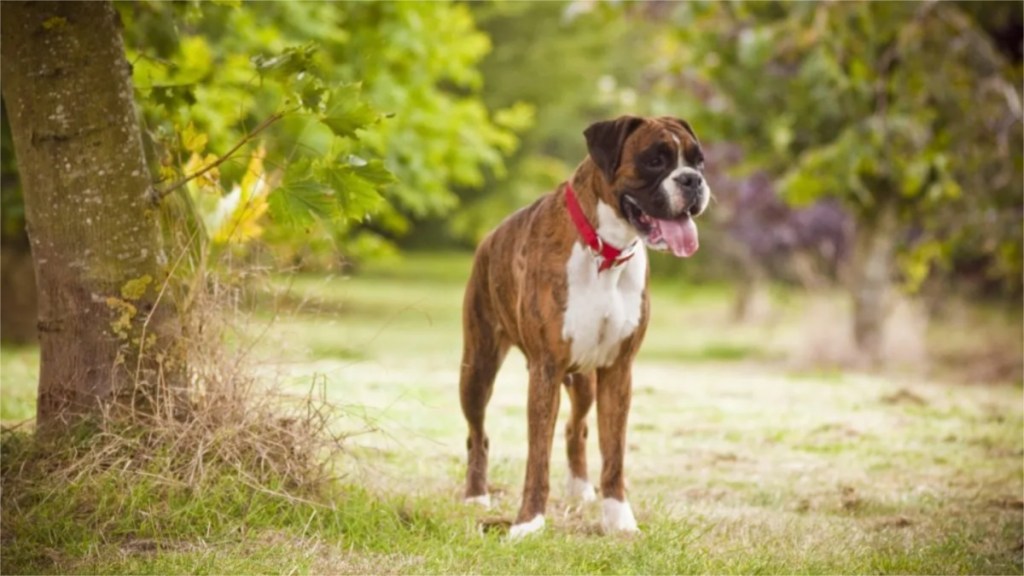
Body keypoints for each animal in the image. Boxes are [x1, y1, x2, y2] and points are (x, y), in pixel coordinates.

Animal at [460, 114, 708, 537]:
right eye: (655, 160)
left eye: (699, 161)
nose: (692, 180)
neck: (605, 251)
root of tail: (488, 238)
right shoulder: (545, 369)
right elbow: (537, 458)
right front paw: (528, 523)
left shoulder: (617, 370)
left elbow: (614, 453)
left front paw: (619, 519)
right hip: (478, 369)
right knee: (478, 434)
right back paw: (476, 495)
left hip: (584, 380)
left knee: (575, 429)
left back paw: (579, 488)